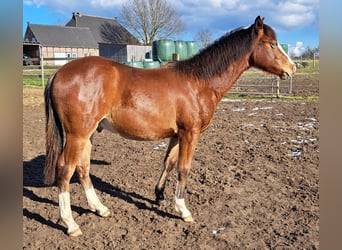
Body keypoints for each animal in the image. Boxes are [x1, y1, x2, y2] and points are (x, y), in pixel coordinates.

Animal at [43, 16, 294, 236]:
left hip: (89, 134)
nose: (291, 68)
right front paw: (183, 210)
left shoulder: (177, 135)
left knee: (83, 168)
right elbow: (184, 168)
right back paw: (71, 224)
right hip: (77, 135)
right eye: (273, 44)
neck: (198, 83)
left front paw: (159, 196)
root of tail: (59, 72)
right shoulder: (190, 134)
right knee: (65, 169)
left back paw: (100, 208)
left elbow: (169, 163)